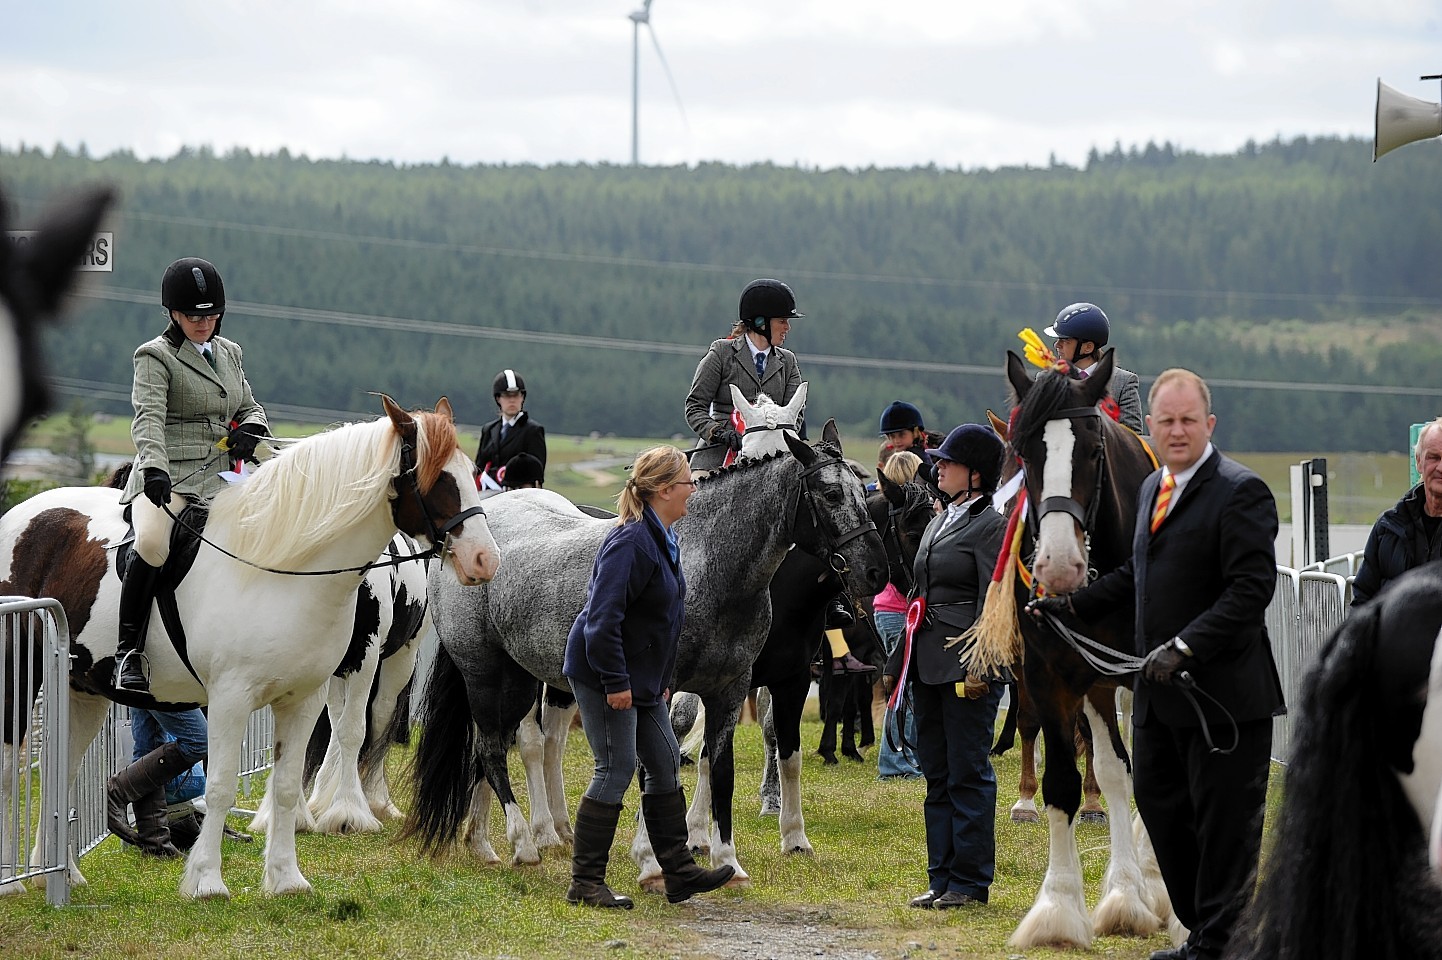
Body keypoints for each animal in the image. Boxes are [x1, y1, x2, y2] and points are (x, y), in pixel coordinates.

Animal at [400, 423, 882, 887]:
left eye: (864, 492)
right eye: (832, 494)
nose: (876, 571)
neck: (708, 565)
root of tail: (467, 540)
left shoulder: (730, 691)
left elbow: (719, 770)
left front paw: (728, 860)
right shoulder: (661, 691)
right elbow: (660, 763)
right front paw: (652, 858)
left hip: (518, 679)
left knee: (495, 744)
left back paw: (484, 841)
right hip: (484, 672)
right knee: (494, 748)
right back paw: (524, 842)